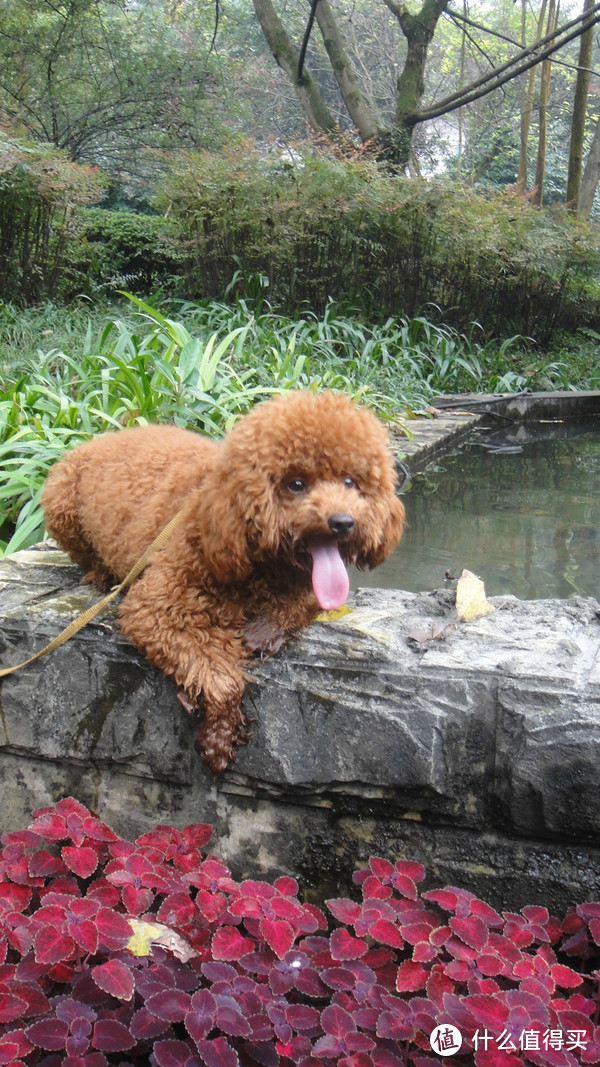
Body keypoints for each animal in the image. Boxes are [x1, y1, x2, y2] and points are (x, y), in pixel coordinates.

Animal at [42, 388, 403, 772]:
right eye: (295, 485)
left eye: (351, 482)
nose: (343, 522)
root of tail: (100, 439)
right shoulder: (155, 607)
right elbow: (222, 677)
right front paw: (218, 736)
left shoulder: (310, 591)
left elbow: (296, 607)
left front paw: (264, 631)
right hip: (60, 502)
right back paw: (100, 574)